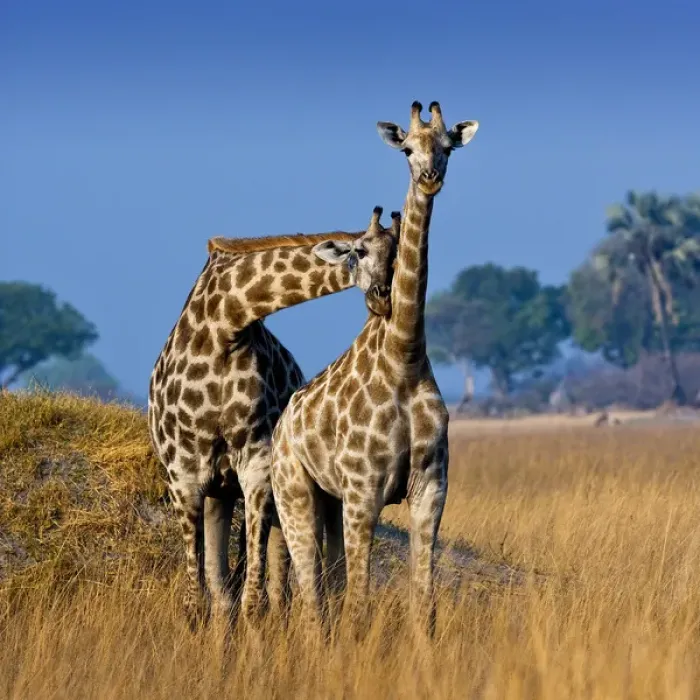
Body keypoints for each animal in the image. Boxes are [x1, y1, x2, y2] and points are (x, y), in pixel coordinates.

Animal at [148, 208, 398, 627]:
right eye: (359, 251)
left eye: (399, 254)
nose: (383, 298)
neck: (224, 326)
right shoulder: (184, 474)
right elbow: (197, 603)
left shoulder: (256, 463)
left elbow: (256, 599)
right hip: (219, 494)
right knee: (222, 591)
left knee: (282, 589)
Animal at [270, 100, 479, 634]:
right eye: (406, 148)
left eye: (448, 147)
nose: (429, 178)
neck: (403, 359)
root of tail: (282, 427)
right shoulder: (364, 491)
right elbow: (359, 602)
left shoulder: (430, 487)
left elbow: (423, 600)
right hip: (294, 491)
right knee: (311, 596)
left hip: (330, 500)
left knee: (324, 589)